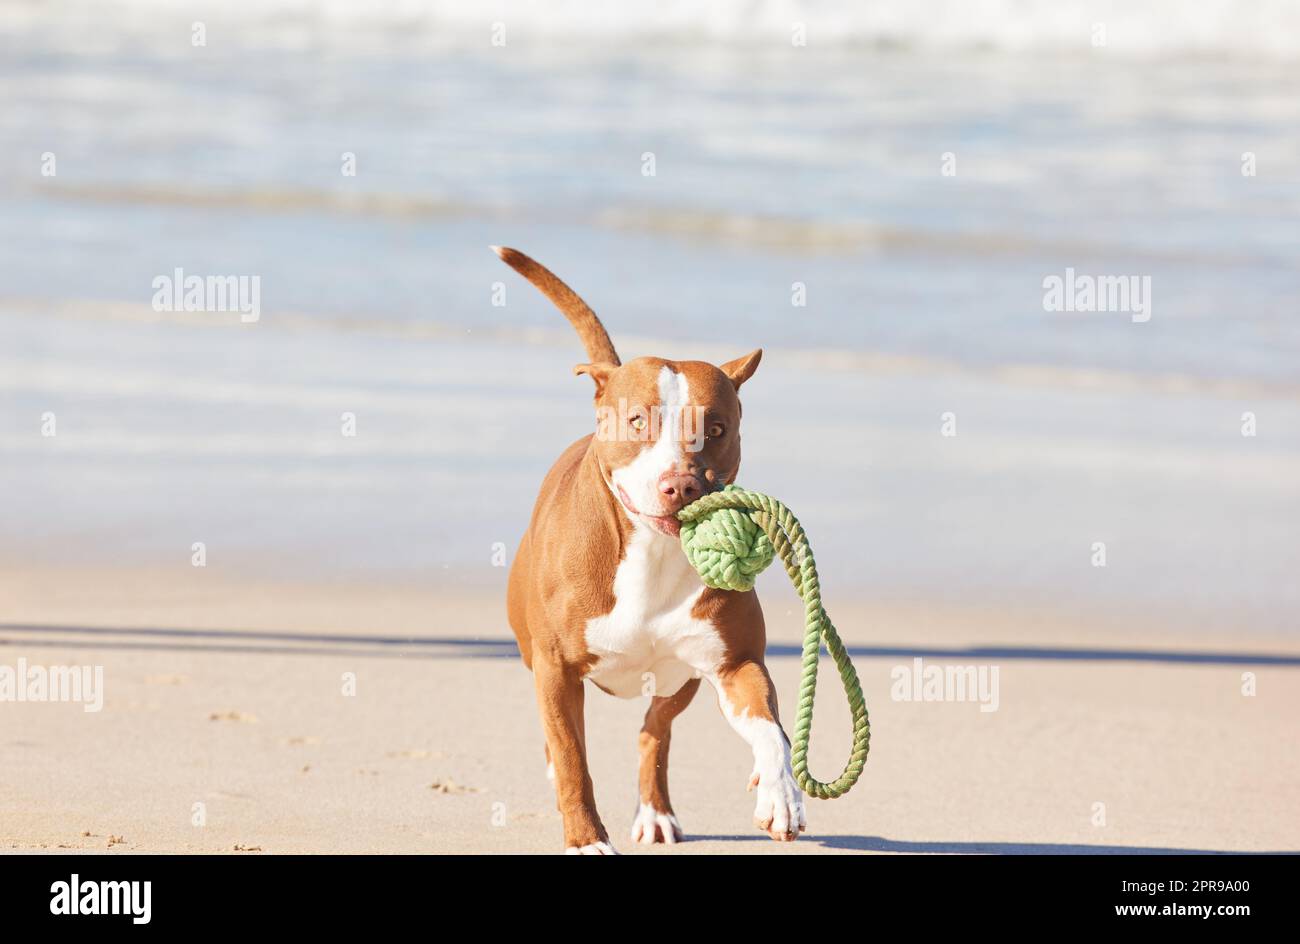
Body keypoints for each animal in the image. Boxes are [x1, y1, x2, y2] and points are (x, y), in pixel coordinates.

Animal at [493, 245, 800, 858]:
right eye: (638, 421)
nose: (680, 484)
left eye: (718, 428)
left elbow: (771, 731)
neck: (653, 554)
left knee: (654, 731)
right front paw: (586, 839)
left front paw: (780, 794)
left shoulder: (735, 663)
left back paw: (656, 812)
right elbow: (572, 758)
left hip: (679, 679)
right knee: (568, 742)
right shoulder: (555, 670)